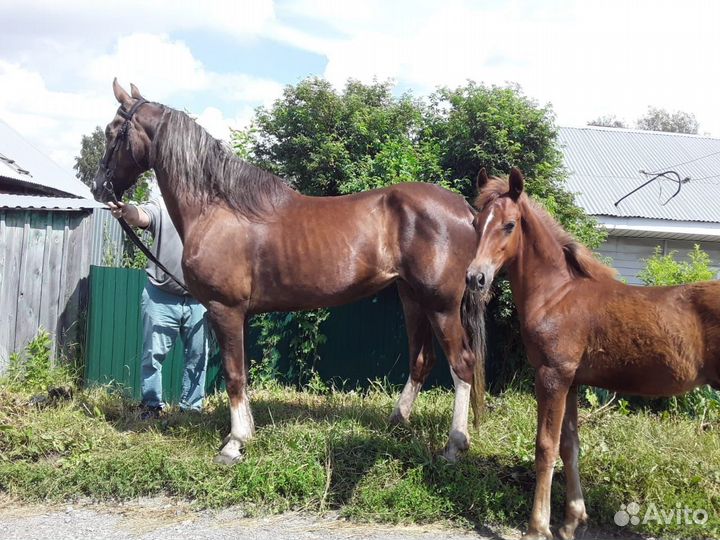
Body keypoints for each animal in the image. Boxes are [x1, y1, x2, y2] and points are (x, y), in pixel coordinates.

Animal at [91, 79, 488, 465]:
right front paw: (246, 432)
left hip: (440, 305)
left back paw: (455, 445)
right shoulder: (237, 314)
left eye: (112, 131)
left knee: (462, 364)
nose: (98, 187)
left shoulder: (225, 309)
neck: (216, 206)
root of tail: (466, 210)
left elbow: (233, 374)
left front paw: (234, 444)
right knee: (422, 359)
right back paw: (397, 422)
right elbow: (242, 374)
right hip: (412, 298)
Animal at [465, 168, 720, 540]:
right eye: (475, 222)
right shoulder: (571, 381)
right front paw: (571, 521)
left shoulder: (552, 376)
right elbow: (570, 446)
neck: (557, 295)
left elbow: (545, 446)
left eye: (509, 225)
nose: (475, 278)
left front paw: (537, 527)